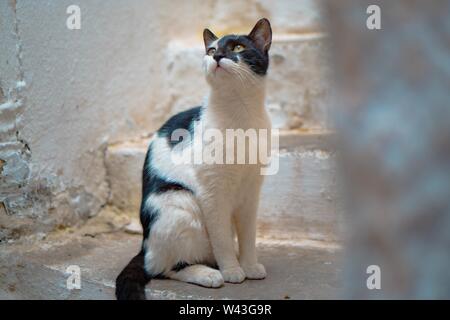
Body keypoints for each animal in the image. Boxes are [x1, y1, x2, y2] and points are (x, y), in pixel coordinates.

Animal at [114, 17, 272, 298]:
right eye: (211, 50)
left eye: (239, 47)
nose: (217, 56)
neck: (240, 114)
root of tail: (144, 244)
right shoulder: (213, 194)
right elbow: (222, 239)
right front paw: (233, 271)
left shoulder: (251, 192)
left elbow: (248, 235)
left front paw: (250, 266)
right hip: (180, 204)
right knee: (163, 267)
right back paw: (210, 274)